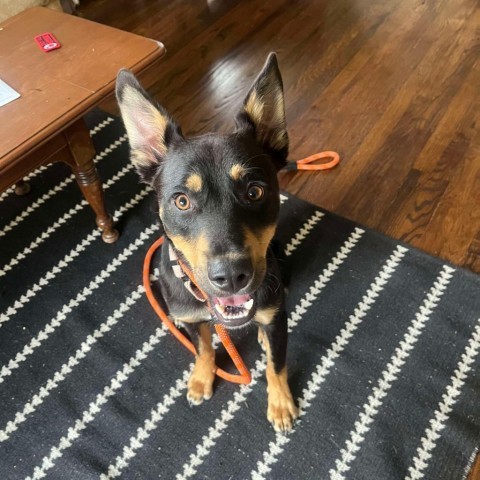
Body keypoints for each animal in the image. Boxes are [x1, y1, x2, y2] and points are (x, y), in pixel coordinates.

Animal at [116, 52, 298, 432]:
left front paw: (280, 402)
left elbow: (276, 364)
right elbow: (202, 347)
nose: (231, 277)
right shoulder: (188, 315)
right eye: (182, 201)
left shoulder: (276, 318)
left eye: (255, 191)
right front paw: (202, 377)